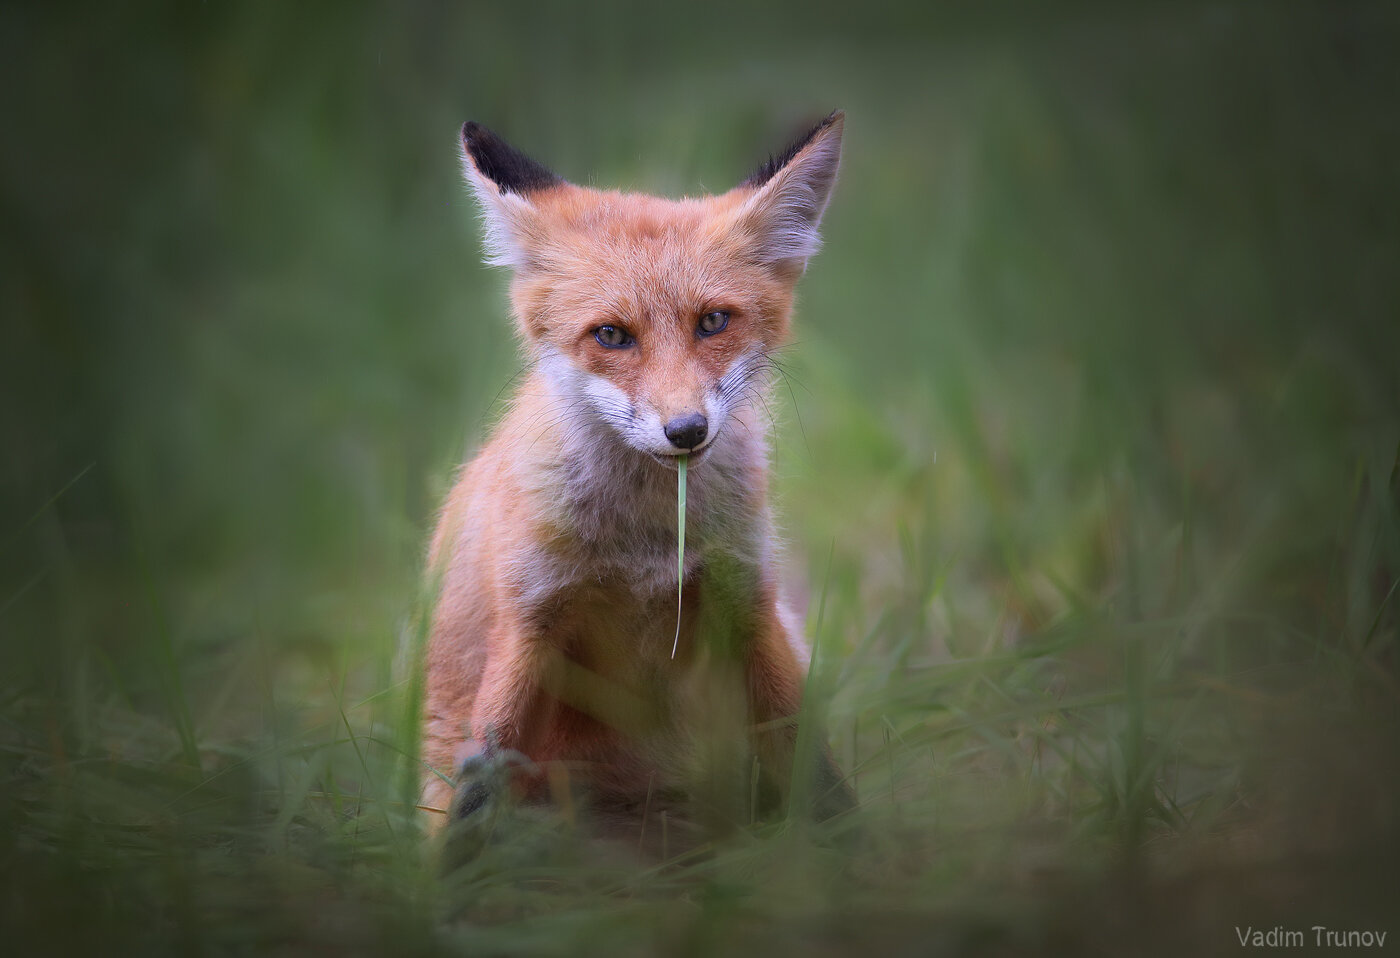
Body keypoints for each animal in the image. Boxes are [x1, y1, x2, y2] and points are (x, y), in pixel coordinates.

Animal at [421, 112, 853, 846]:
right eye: (612, 336)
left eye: (713, 321)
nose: (685, 430)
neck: (646, 546)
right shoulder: (529, 620)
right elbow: (481, 779)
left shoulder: (747, 599)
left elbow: (809, 763)